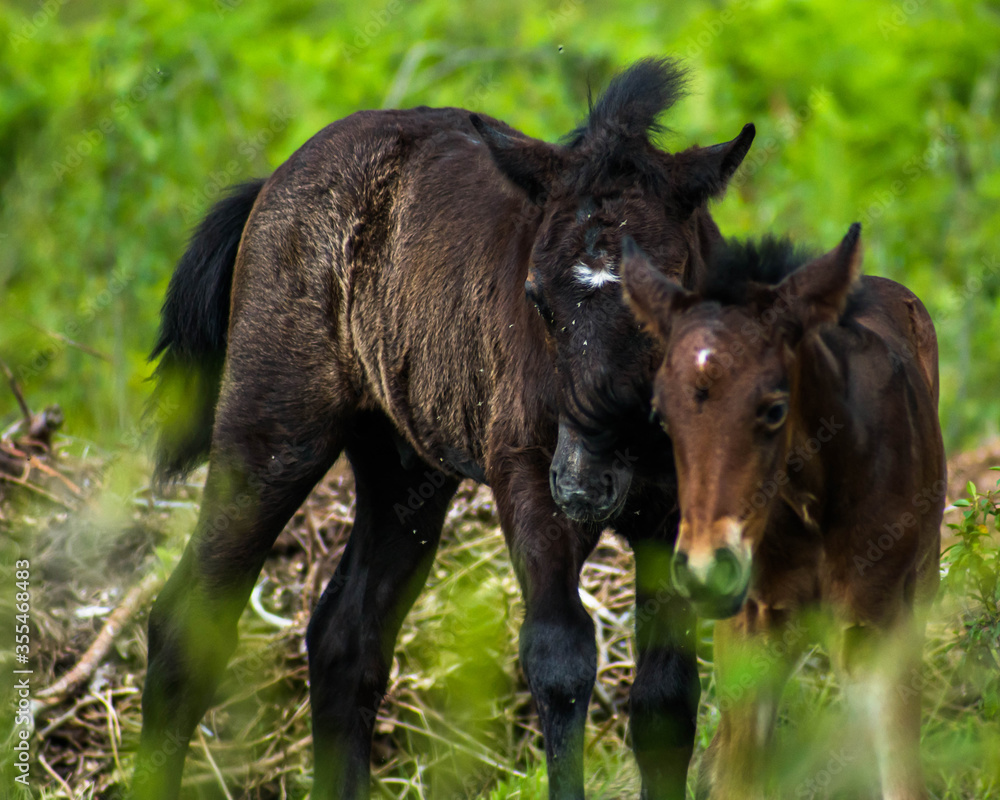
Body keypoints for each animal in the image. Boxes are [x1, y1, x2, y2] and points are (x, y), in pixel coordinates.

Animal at [135, 58, 755, 800]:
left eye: (662, 298)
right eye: (535, 297)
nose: (584, 482)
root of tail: (274, 182)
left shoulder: (673, 515)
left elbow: (666, 701)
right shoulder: (527, 477)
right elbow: (560, 659)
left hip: (404, 470)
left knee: (346, 639)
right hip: (271, 435)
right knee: (187, 623)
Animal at [622, 225, 945, 799]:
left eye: (774, 408)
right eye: (661, 415)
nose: (705, 568)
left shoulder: (878, 623)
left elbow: (901, 778)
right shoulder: (750, 627)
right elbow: (740, 781)